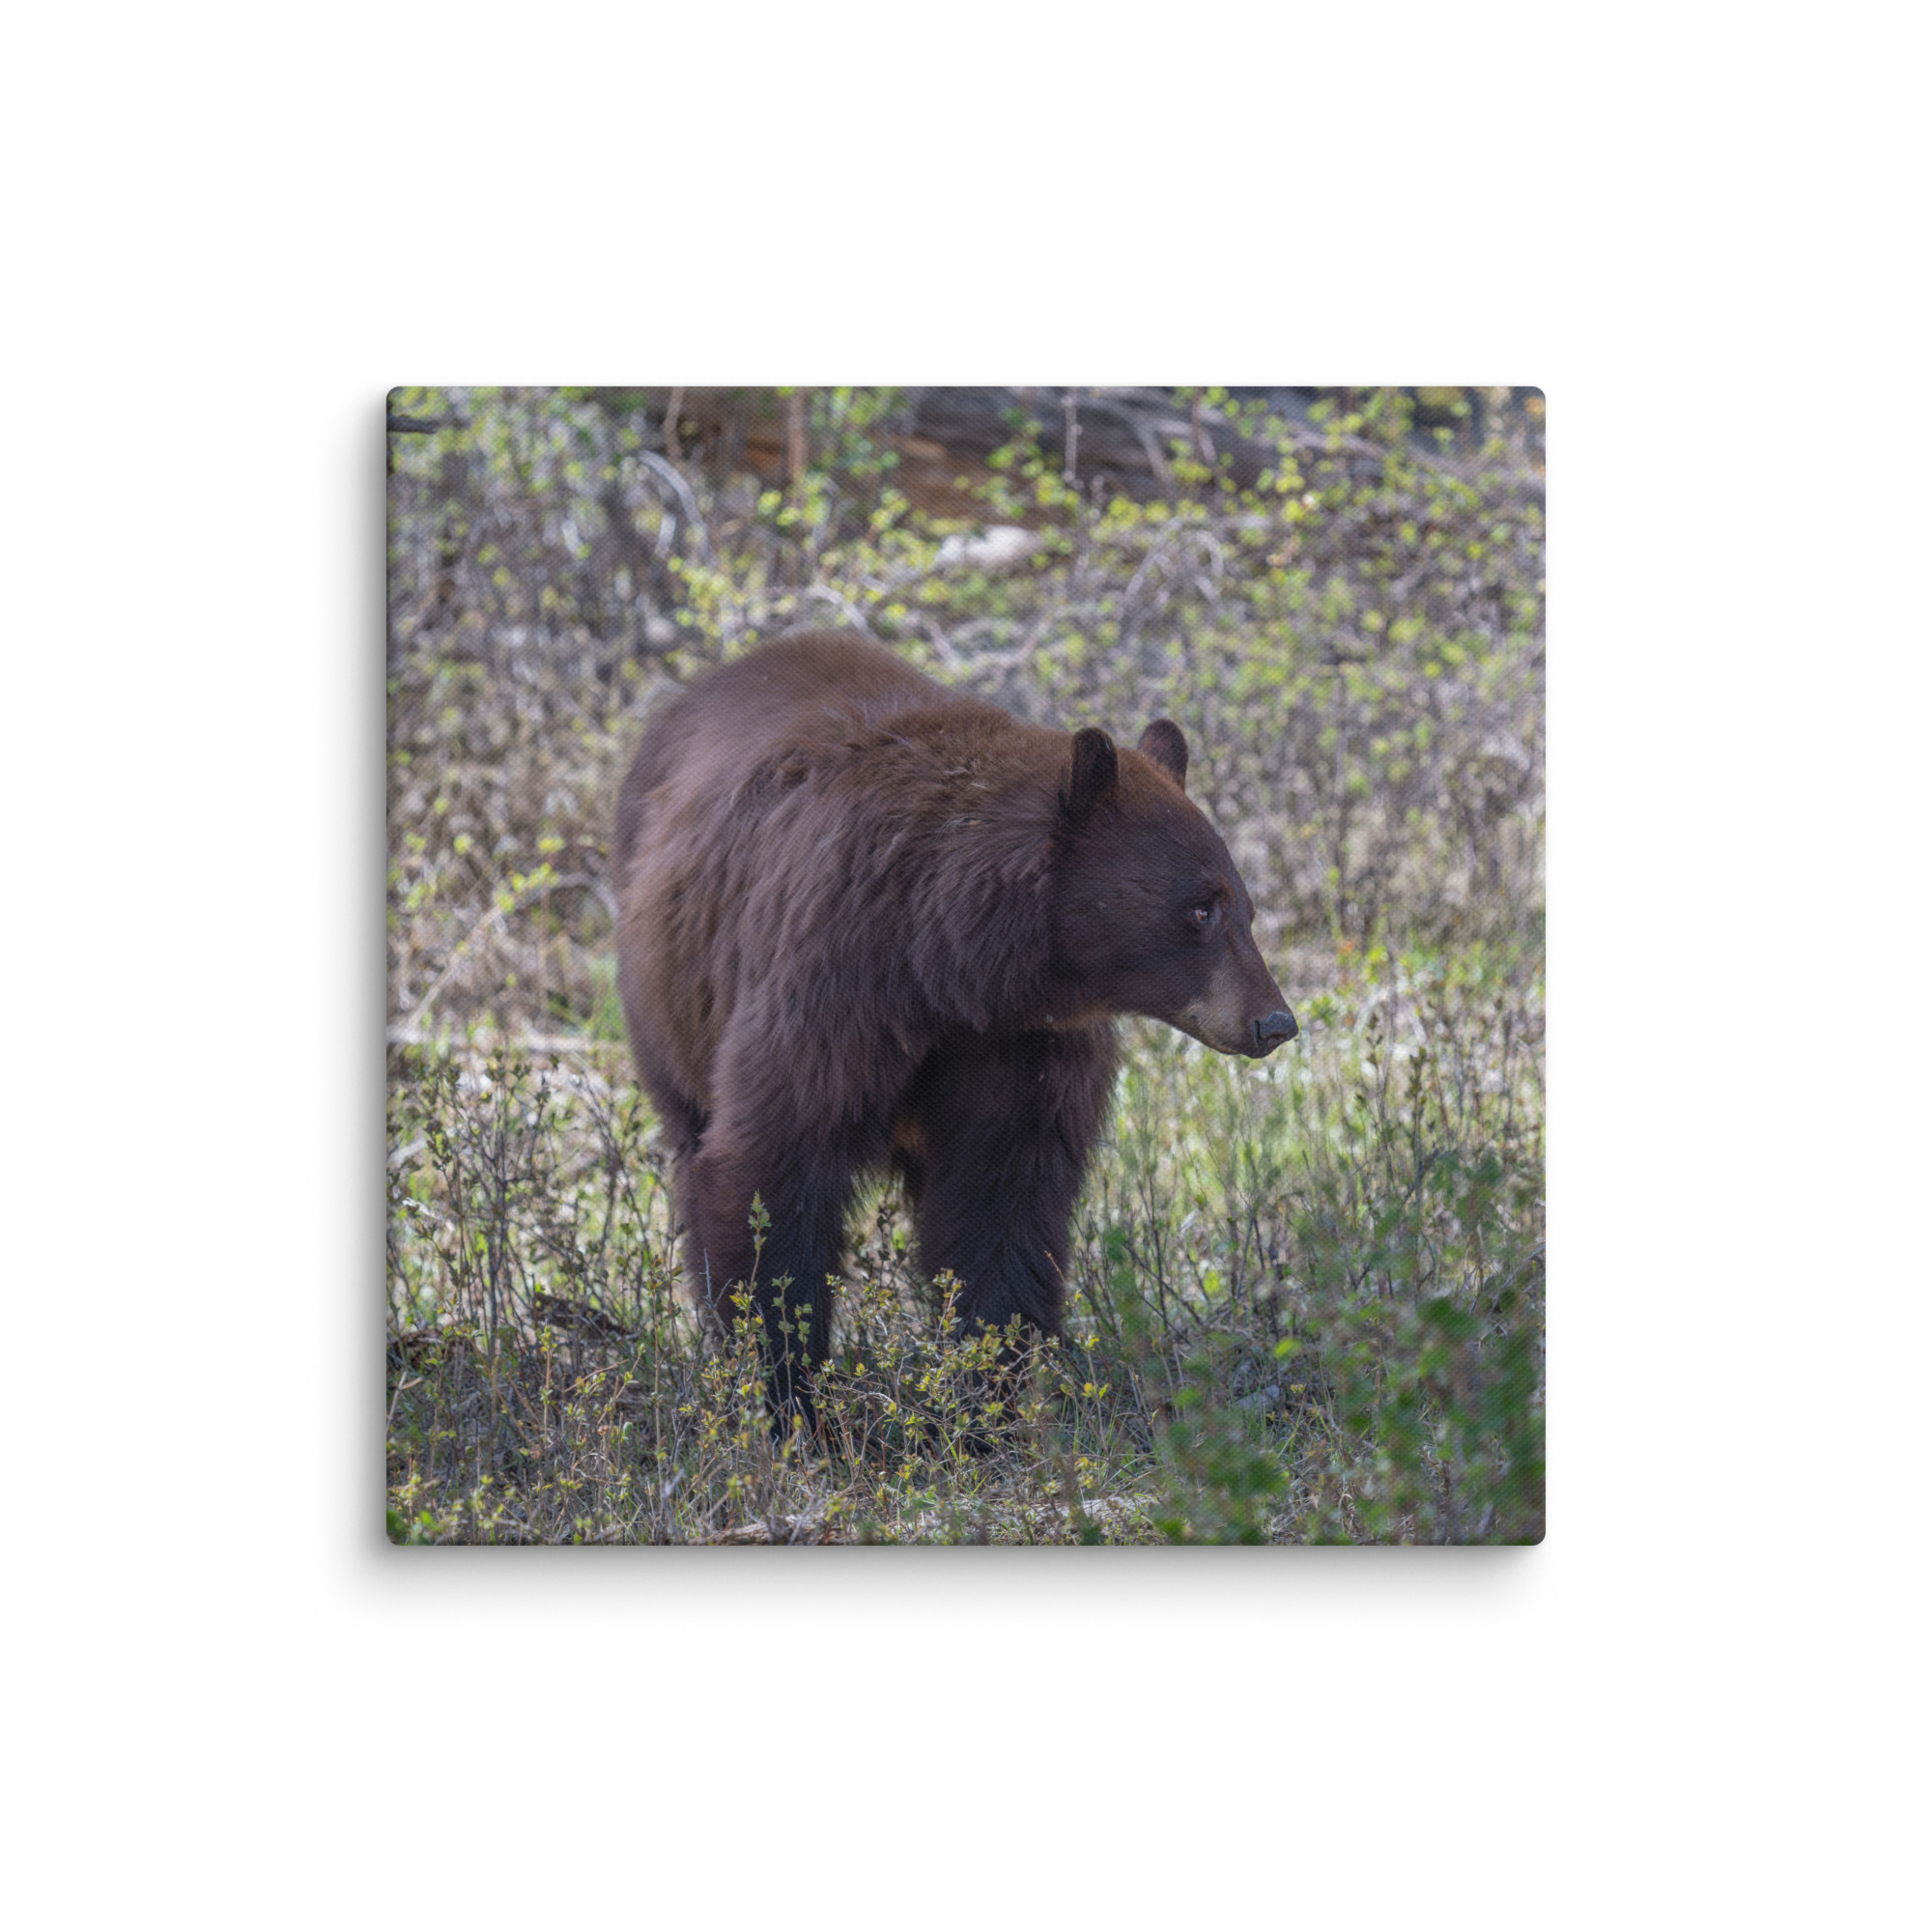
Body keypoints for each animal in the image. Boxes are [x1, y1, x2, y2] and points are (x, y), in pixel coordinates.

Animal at [612, 630, 1296, 1428]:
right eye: (1199, 908)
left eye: (1244, 906)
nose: (1274, 1021)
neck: (949, 962)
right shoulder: (834, 984)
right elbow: (773, 1165)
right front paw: (787, 1397)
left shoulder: (1021, 1045)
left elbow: (1002, 1200)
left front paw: (986, 1400)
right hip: (670, 1001)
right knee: (694, 1143)